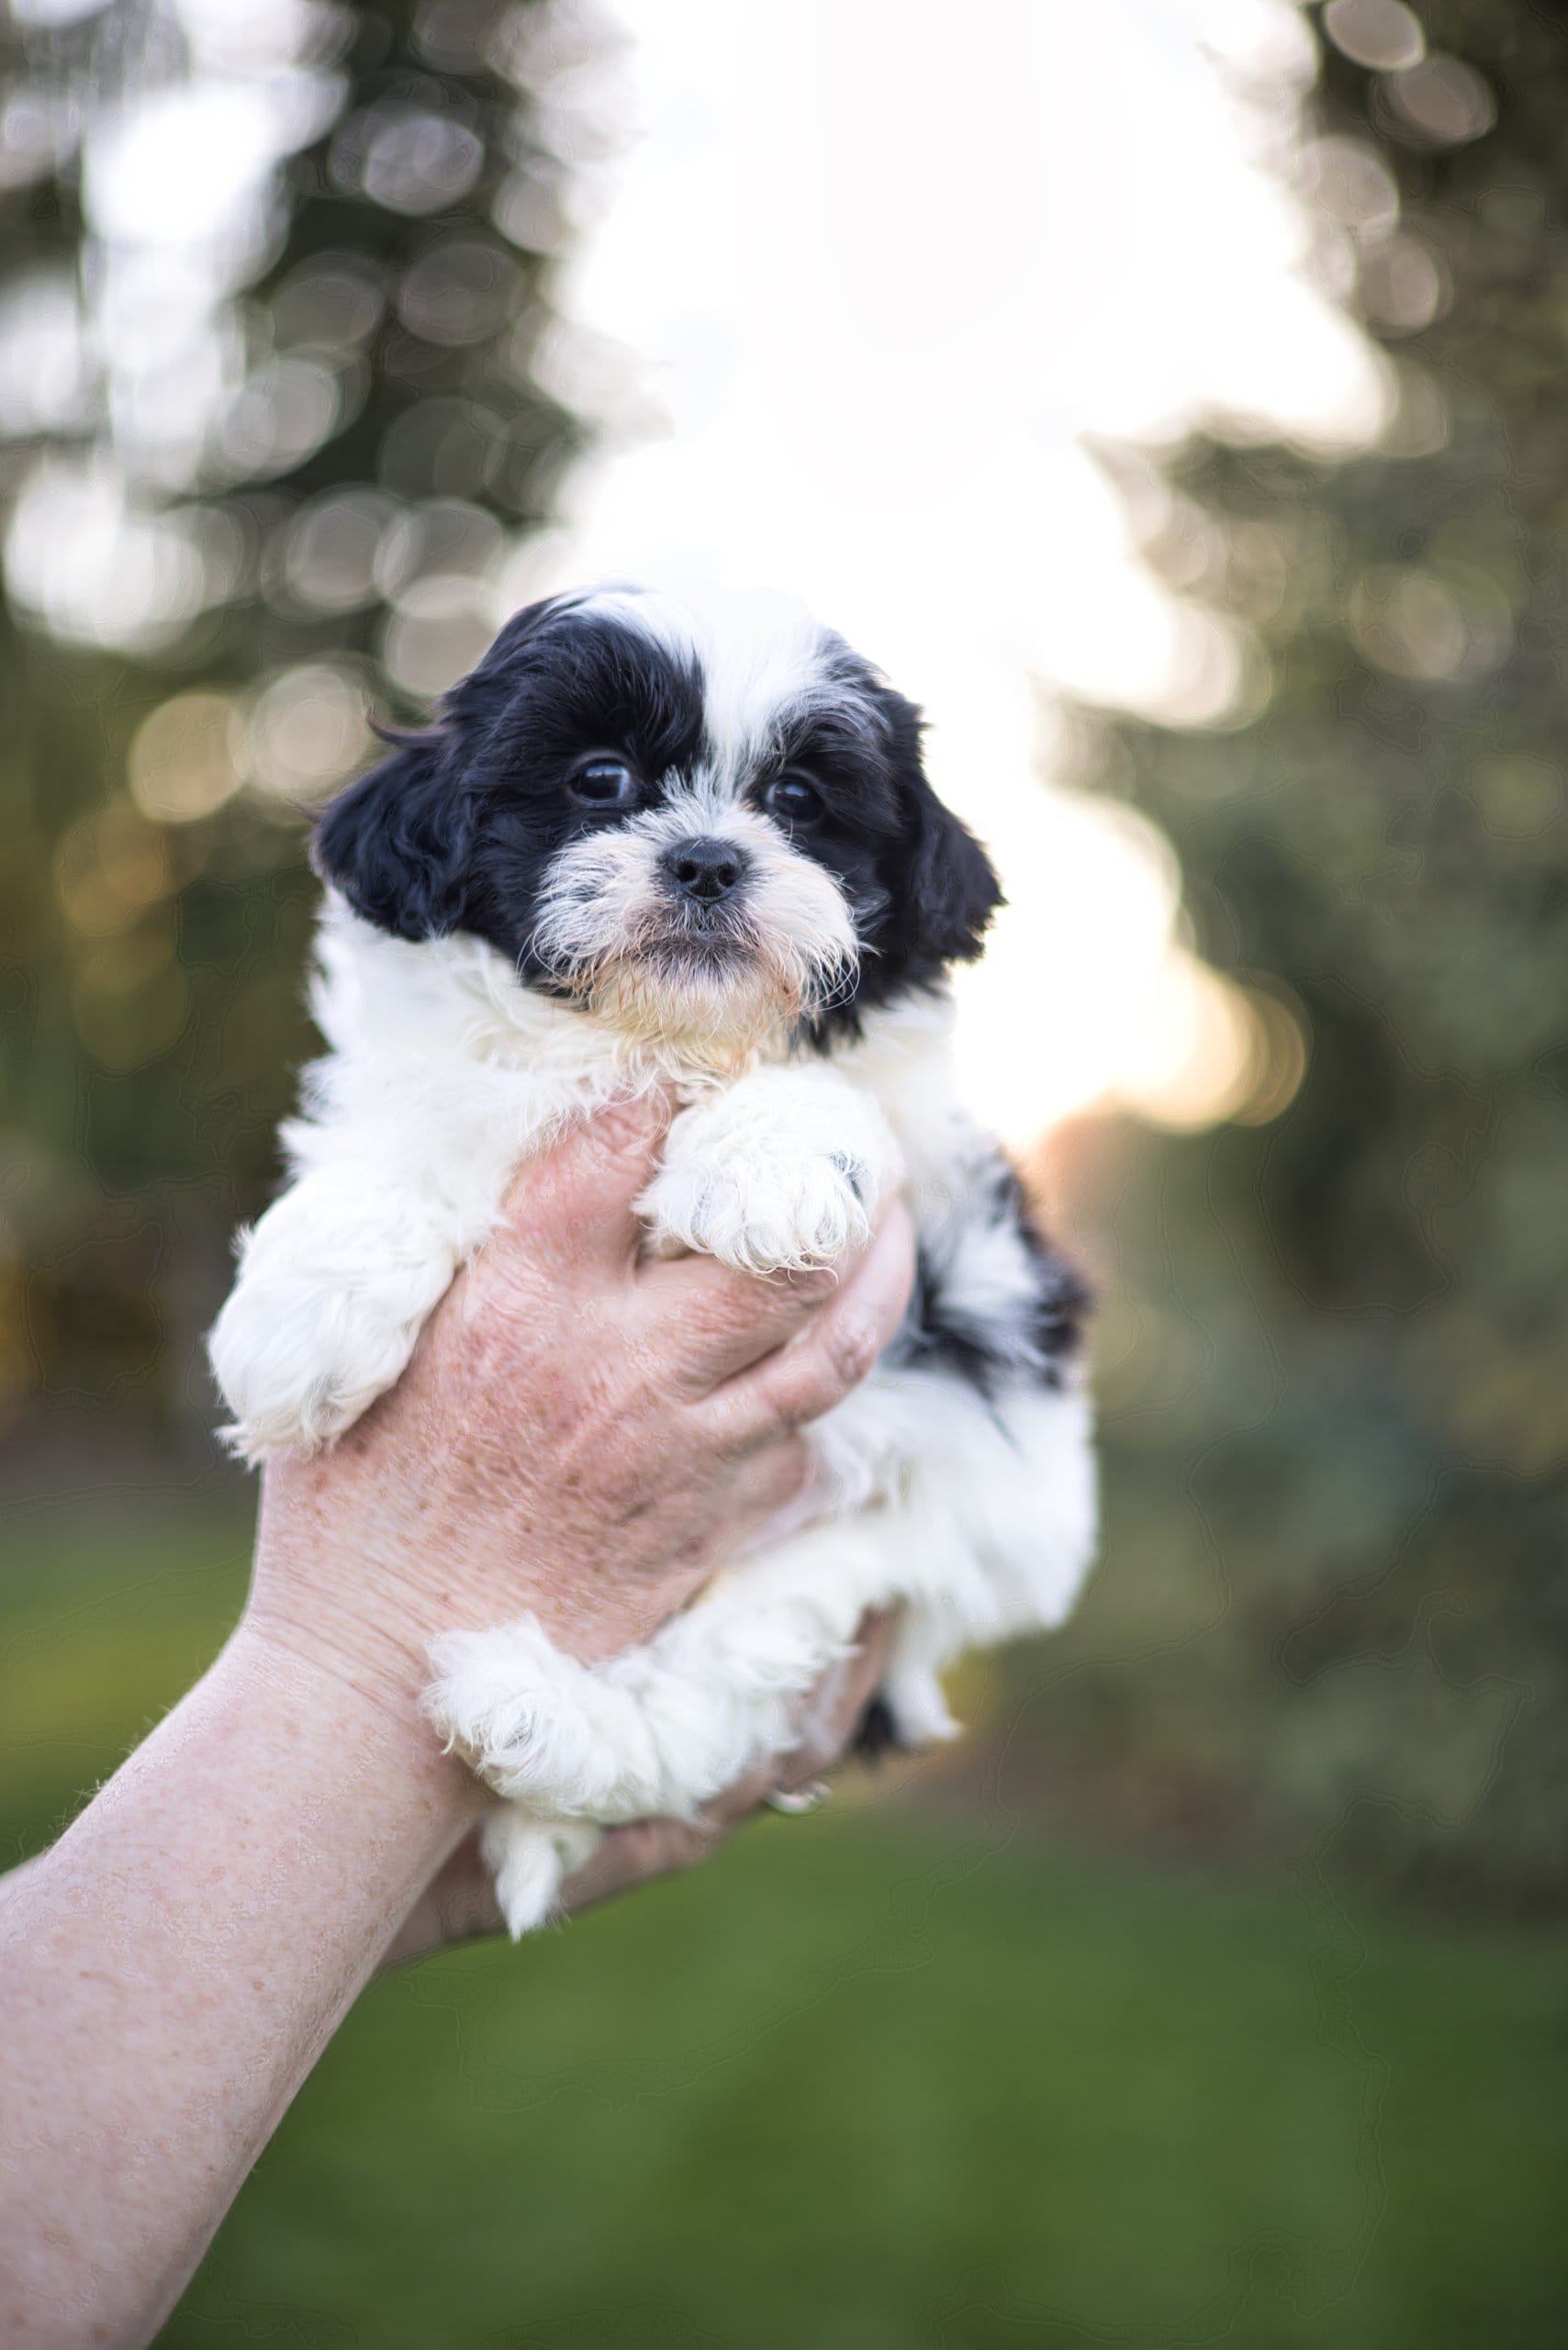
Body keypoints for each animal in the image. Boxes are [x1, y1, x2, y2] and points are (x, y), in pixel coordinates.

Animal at [207, 582, 1100, 1927]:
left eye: (799, 800)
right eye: (601, 778)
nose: (709, 857)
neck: (648, 1041)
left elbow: (836, 1096)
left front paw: (766, 1157)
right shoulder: (441, 1079)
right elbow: (402, 1133)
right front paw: (296, 1326)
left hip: (895, 1552)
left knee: (698, 1710)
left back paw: (527, 1717)